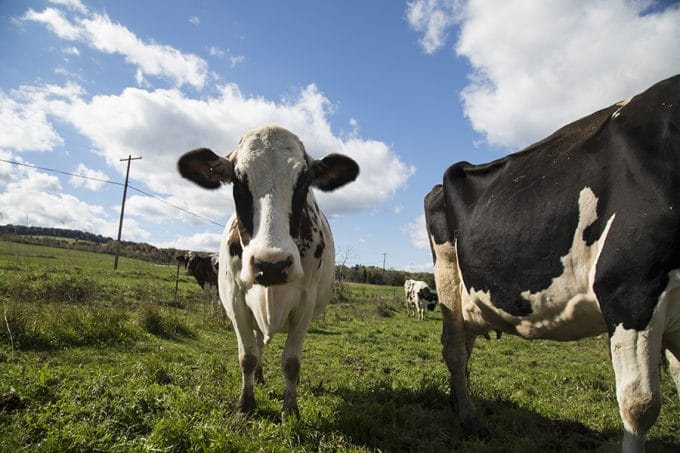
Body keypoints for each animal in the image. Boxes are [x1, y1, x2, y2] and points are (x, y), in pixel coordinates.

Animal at [177, 122, 362, 416]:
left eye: (304, 181)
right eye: (238, 181)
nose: (271, 264)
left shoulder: (306, 302)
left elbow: (291, 361)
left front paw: (290, 408)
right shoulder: (235, 298)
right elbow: (247, 356)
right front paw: (245, 405)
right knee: (257, 342)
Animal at [424, 76, 680, 450]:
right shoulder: (629, 288)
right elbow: (640, 405)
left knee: (465, 346)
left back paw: (458, 403)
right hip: (446, 274)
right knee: (455, 349)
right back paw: (470, 419)